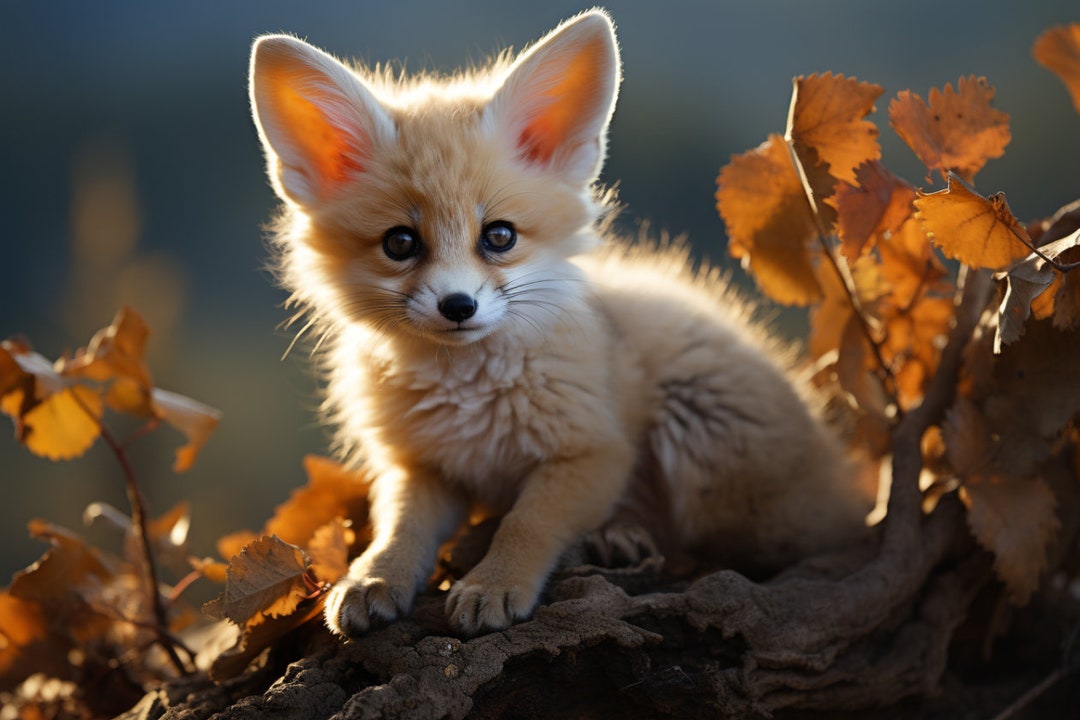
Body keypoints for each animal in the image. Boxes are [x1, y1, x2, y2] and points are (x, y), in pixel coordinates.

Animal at [248, 9, 871, 638]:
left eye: (499, 236)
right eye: (400, 243)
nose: (458, 306)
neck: (469, 397)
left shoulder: (593, 452)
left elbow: (528, 523)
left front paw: (495, 584)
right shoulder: (422, 466)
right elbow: (398, 530)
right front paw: (373, 577)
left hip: (702, 431)